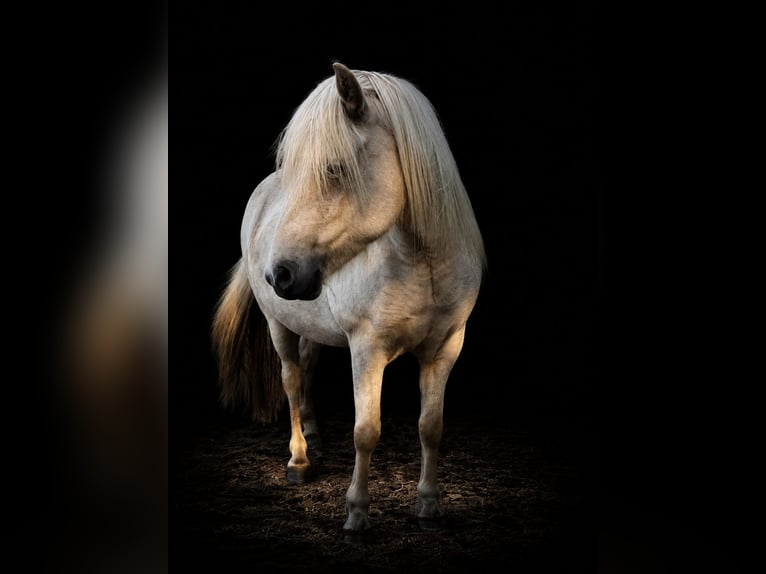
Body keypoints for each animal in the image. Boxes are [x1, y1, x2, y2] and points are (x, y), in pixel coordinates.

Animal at [212, 62, 486, 534]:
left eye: (335, 168)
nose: (279, 275)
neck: (424, 263)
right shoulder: (367, 350)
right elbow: (366, 430)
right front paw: (357, 513)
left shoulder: (446, 348)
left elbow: (431, 427)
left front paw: (429, 505)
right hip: (278, 324)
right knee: (290, 378)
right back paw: (300, 460)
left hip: (313, 324)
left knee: (307, 368)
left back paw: (316, 438)